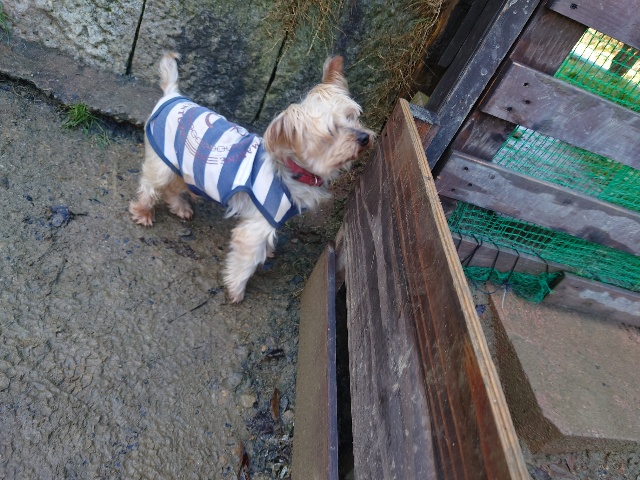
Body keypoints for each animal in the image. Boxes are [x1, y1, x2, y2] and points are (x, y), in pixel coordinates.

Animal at [129, 52, 374, 302]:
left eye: (352, 117)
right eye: (331, 132)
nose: (364, 138)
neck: (292, 171)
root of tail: (172, 96)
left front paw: (268, 251)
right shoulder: (256, 227)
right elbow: (246, 261)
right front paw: (236, 289)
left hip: (184, 166)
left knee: (173, 187)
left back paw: (180, 208)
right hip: (163, 161)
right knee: (151, 185)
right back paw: (143, 212)